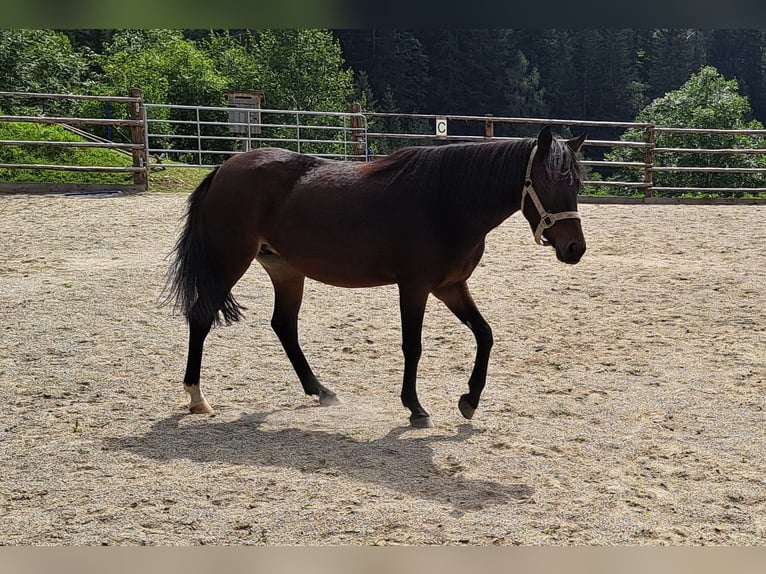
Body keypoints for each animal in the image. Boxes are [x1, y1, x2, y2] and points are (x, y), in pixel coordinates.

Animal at [166, 128, 588, 430]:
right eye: (547, 182)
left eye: (577, 185)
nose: (575, 248)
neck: (445, 202)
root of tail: (225, 168)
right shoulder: (414, 287)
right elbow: (413, 346)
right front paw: (415, 408)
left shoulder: (450, 286)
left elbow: (485, 334)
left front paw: (469, 400)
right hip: (228, 261)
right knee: (202, 316)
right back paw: (197, 397)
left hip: (285, 270)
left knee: (284, 325)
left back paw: (320, 391)